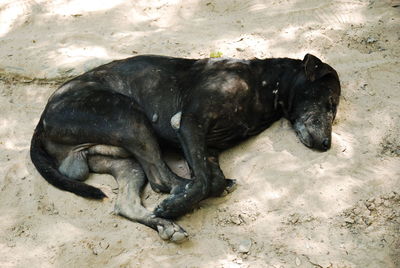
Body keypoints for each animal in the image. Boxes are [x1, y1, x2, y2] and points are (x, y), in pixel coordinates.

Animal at [29, 53, 340, 242]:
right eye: (330, 102)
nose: (327, 145)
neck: (262, 85)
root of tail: (42, 120)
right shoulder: (189, 123)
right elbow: (203, 181)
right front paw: (179, 203)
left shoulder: (209, 149)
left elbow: (211, 178)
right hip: (128, 116)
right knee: (161, 179)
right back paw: (171, 205)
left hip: (126, 161)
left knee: (129, 201)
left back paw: (165, 224)